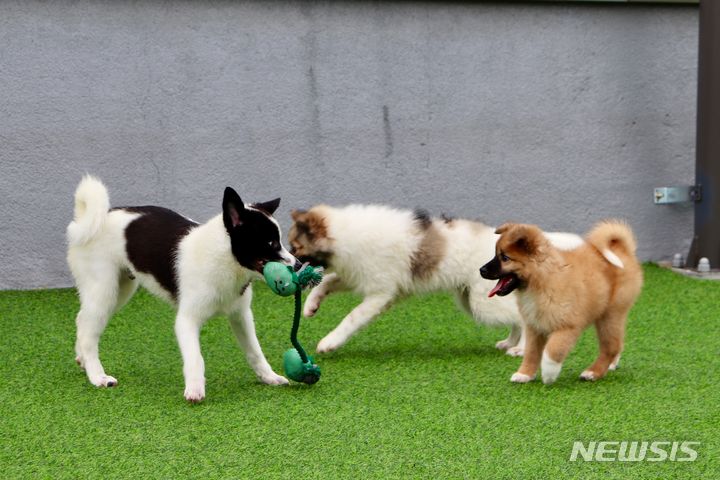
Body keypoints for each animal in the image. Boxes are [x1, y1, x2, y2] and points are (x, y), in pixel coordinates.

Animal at [67, 176, 298, 402]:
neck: (223, 259)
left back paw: (83, 360)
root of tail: (87, 220)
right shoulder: (187, 320)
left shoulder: (241, 315)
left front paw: (269, 377)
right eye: (270, 243)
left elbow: (255, 351)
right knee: (89, 333)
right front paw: (195, 390)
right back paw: (98, 376)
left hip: (120, 290)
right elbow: (195, 357)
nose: (298, 265)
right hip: (104, 290)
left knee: (82, 320)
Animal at [480, 219, 644, 384]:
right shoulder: (535, 327)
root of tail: (622, 250)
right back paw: (609, 366)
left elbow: (553, 350)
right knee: (617, 343)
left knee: (611, 347)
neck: (542, 281)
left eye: (505, 258)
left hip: (611, 314)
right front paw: (524, 374)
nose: (481, 270)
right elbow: (531, 353)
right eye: (496, 255)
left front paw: (548, 373)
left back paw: (592, 372)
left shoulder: (567, 326)